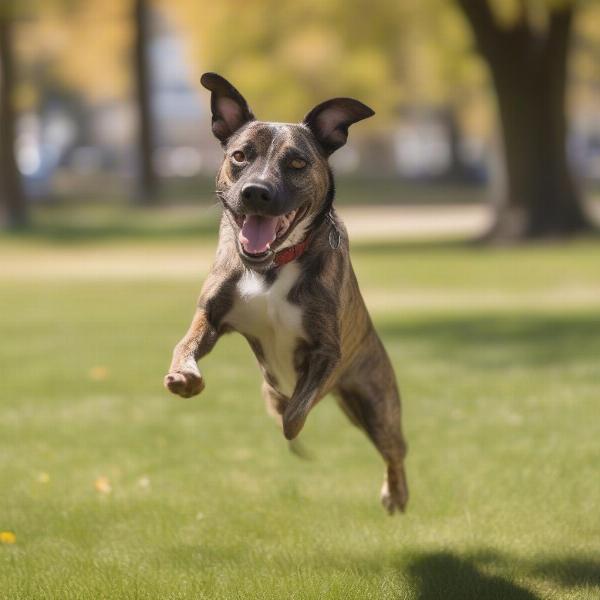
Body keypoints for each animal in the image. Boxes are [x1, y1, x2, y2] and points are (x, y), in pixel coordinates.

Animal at [164, 74, 408, 516]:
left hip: (377, 403)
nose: (256, 192)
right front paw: (184, 377)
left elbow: (295, 413)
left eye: (297, 163)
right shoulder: (211, 316)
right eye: (240, 155)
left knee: (395, 449)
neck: (271, 266)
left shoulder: (327, 352)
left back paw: (396, 493)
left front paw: (291, 420)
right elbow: (185, 345)